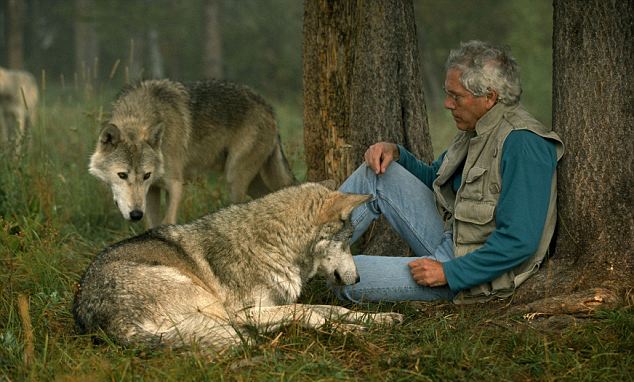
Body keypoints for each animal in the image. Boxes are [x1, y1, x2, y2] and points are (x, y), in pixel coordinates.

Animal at [73, 183, 400, 350]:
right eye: (347, 241)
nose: (357, 279)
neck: (273, 246)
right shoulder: (247, 312)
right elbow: (310, 312)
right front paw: (352, 332)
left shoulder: (275, 305)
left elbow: (333, 309)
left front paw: (378, 319)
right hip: (213, 306)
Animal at [89, 77, 296, 227]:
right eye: (122, 175)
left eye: (146, 175)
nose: (136, 214)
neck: (138, 115)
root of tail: (268, 107)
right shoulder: (153, 190)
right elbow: (152, 225)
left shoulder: (175, 185)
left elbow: (168, 221)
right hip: (253, 183)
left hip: (234, 178)